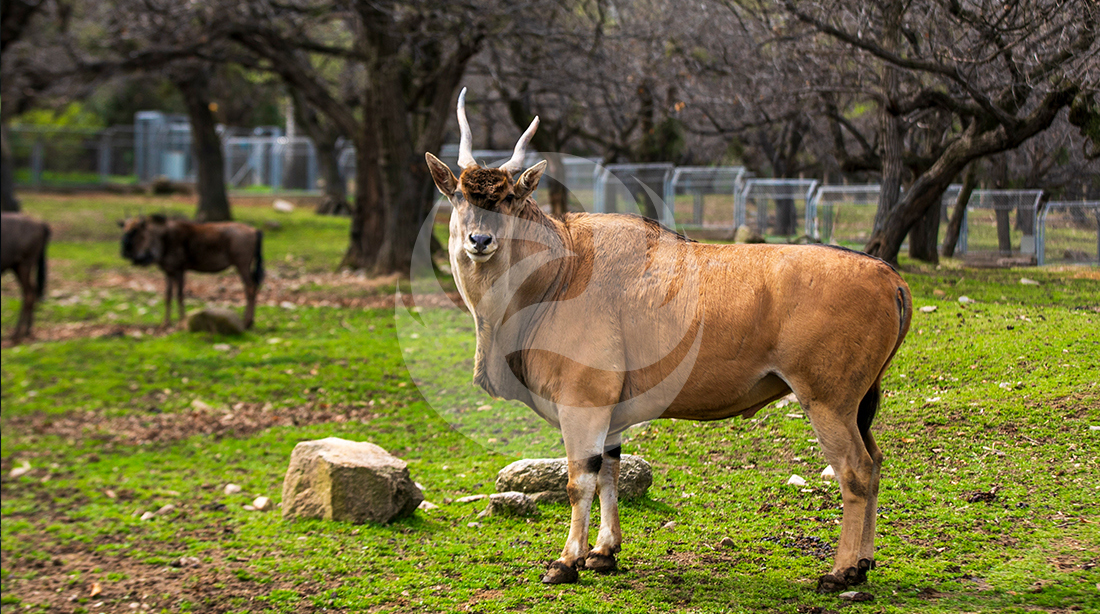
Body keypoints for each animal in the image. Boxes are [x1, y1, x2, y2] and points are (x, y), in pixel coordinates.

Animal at [1, 212, 50, 342]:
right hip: (17, 267)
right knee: (31, 291)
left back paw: (17, 334)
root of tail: (41, 224)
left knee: (29, 293)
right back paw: (27, 330)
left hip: (24, 265)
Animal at [119, 215, 264, 329]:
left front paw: (182, 323)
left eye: (136, 232)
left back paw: (247, 322)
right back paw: (249, 322)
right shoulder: (168, 272)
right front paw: (165, 323)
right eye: (125, 230)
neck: (164, 240)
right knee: (251, 287)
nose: (125, 253)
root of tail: (254, 230)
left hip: (242, 265)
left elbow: (180, 295)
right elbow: (168, 296)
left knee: (251, 288)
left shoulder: (180, 270)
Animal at [423, 89, 912, 593]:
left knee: (855, 471)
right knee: (876, 462)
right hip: (857, 406)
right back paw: (864, 562)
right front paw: (604, 553)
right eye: (458, 195)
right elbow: (611, 473)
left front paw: (566, 562)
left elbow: (580, 481)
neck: (563, 268)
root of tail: (891, 278)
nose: (480, 240)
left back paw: (841, 571)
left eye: (508, 197)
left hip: (827, 401)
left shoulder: (583, 404)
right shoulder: (609, 415)